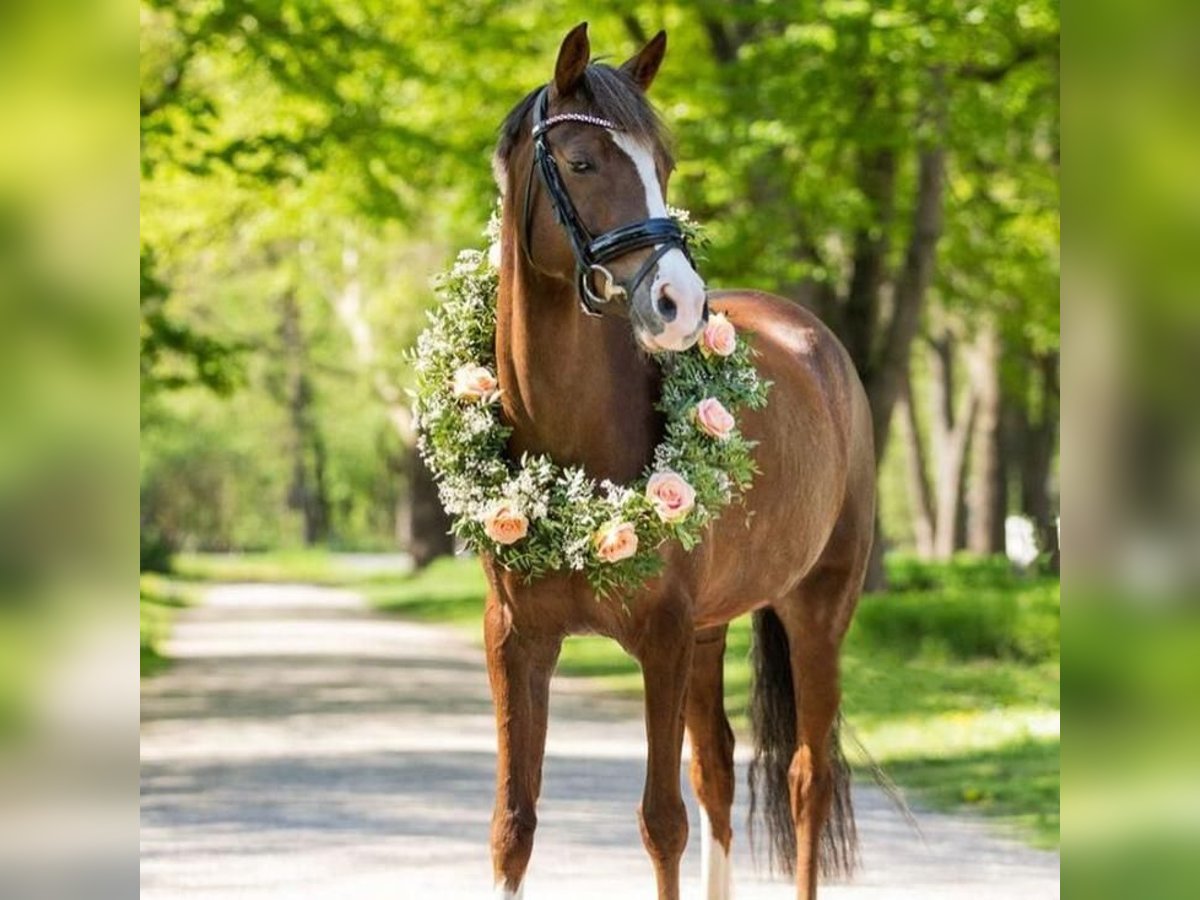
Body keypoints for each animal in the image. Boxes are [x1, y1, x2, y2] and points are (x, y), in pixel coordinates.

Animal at [482, 21, 878, 900]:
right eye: (583, 163)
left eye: (661, 166)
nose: (681, 304)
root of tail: (821, 345)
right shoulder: (516, 641)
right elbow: (513, 825)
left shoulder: (660, 639)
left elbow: (660, 822)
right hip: (711, 631)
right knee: (720, 771)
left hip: (818, 611)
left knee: (807, 778)